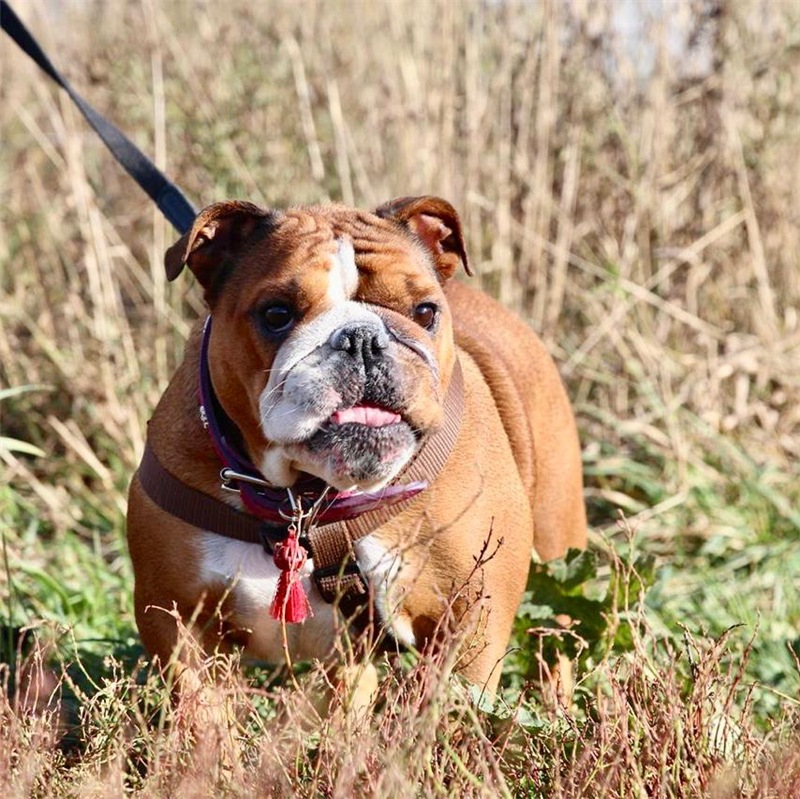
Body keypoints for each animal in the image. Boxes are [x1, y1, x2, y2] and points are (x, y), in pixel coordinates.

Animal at [126, 195, 586, 701]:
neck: (304, 497)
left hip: (558, 548)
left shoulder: (468, 626)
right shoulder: (178, 623)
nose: (361, 338)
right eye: (276, 315)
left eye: (425, 312)